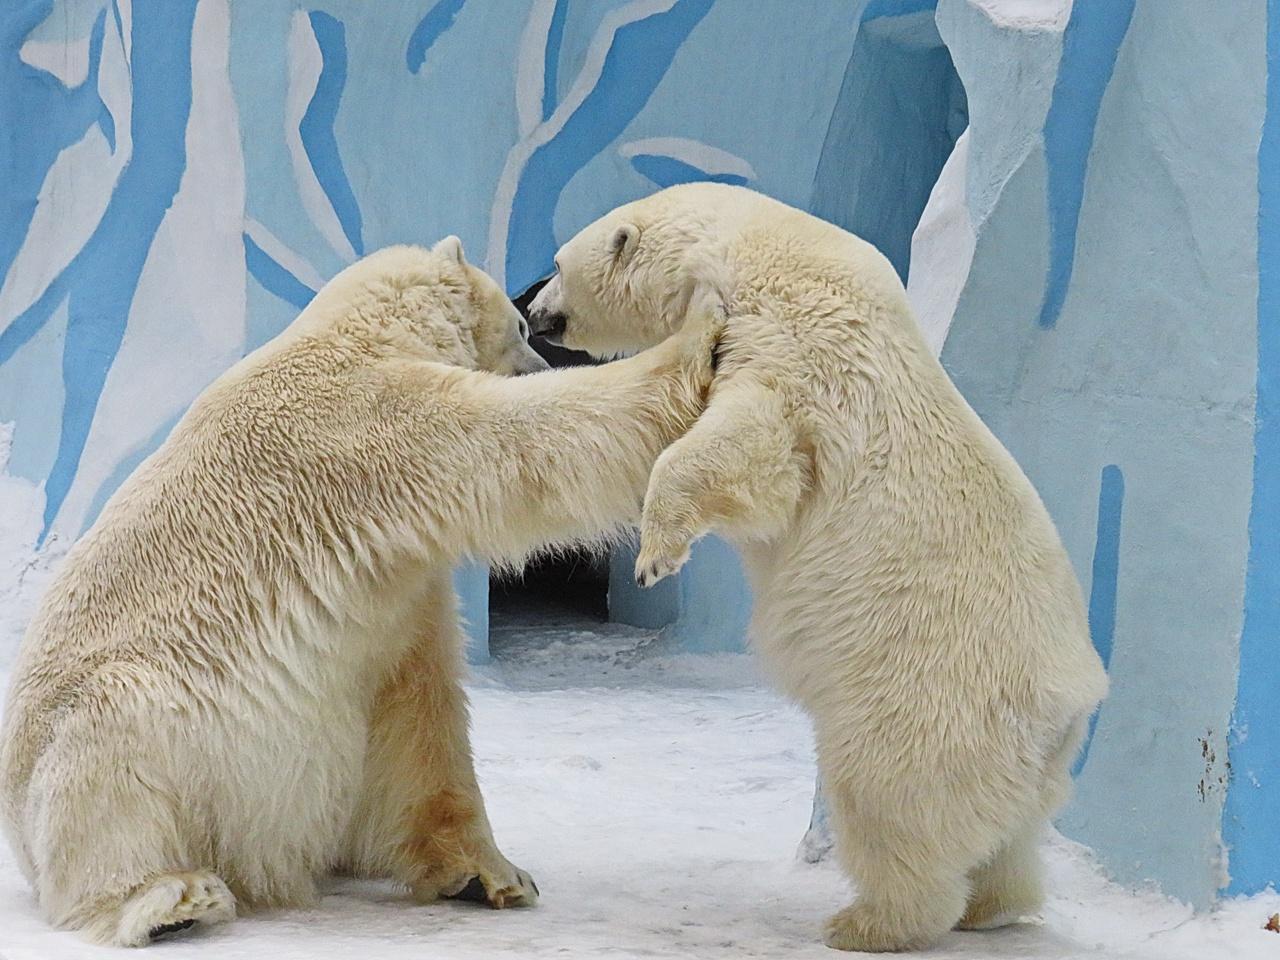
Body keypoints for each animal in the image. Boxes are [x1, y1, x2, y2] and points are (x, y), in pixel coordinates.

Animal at [0, 239, 721, 947]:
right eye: (520, 325)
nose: (538, 359)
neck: (361, 334)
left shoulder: (395, 586)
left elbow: (417, 714)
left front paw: (489, 873)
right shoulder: (372, 432)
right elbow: (527, 440)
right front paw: (702, 331)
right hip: (117, 725)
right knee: (111, 760)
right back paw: (168, 898)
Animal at [529, 184, 1111, 952]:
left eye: (559, 262)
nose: (534, 310)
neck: (744, 246)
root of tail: (1067, 704)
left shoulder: (794, 347)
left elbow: (752, 448)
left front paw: (656, 555)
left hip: (925, 705)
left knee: (889, 799)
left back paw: (867, 922)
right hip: (1020, 757)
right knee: (1008, 836)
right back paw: (992, 905)